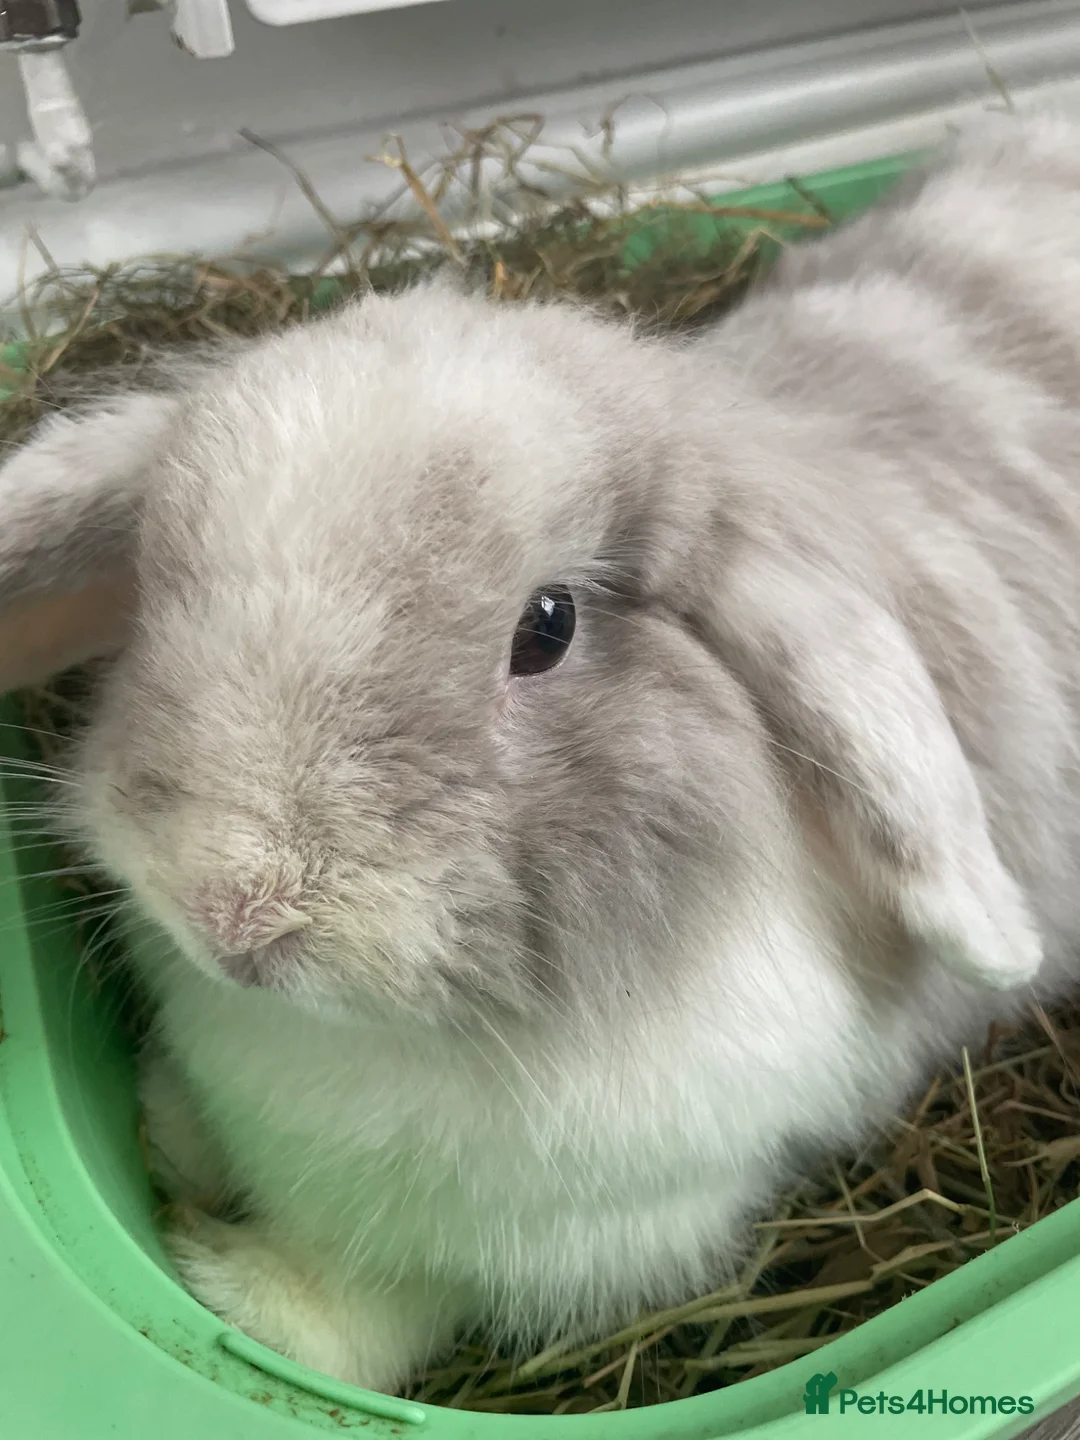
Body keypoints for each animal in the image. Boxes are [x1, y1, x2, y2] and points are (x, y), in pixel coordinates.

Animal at [3, 110, 1080, 1396]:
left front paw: (235, 1289)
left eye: (548, 627)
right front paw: (168, 1136)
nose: (232, 915)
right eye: (159, 586)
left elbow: (374, 1310)